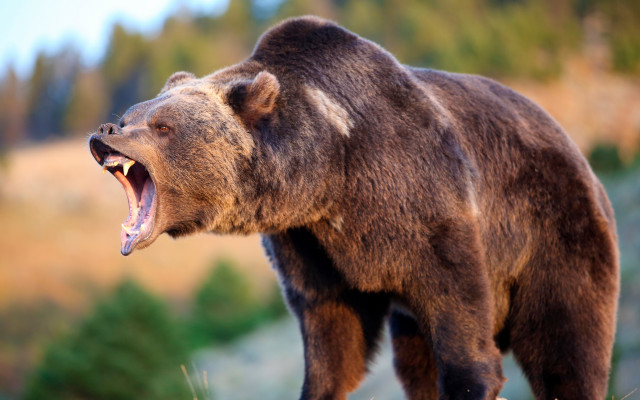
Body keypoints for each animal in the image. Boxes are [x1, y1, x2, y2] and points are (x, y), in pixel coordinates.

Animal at [89, 16, 619, 400]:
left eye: (162, 126)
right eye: (129, 116)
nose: (105, 132)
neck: (330, 174)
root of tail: (578, 153)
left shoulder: (425, 205)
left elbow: (460, 318)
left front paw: (475, 381)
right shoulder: (311, 247)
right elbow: (333, 341)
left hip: (554, 231)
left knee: (567, 345)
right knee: (415, 362)